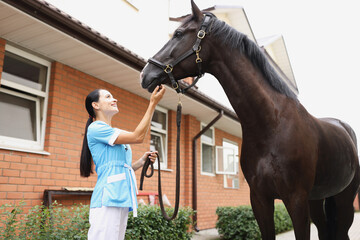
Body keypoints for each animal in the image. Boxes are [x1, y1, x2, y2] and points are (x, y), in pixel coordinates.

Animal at [140, 0, 360, 239]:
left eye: (178, 34)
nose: (145, 74)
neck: (272, 125)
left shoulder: (296, 199)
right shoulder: (259, 199)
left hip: (344, 200)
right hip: (318, 200)